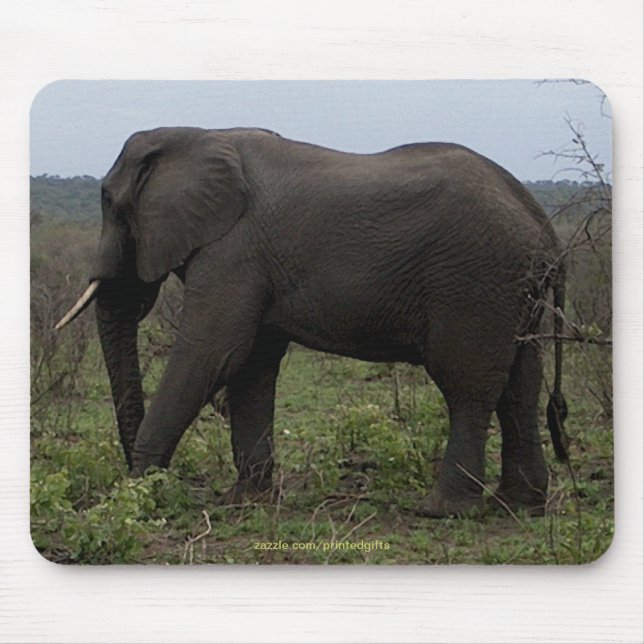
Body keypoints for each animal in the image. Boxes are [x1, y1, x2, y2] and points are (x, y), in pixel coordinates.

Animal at [56, 126, 568, 518]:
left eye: (108, 202)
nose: (146, 478)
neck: (195, 135)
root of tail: (544, 228)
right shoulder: (254, 262)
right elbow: (251, 366)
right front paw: (243, 502)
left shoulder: (235, 252)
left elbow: (212, 352)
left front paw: (136, 497)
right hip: (512, 291)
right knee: (520, 386)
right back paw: (518, 506)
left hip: (474, 283)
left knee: (467, 386)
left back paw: (441, 511)